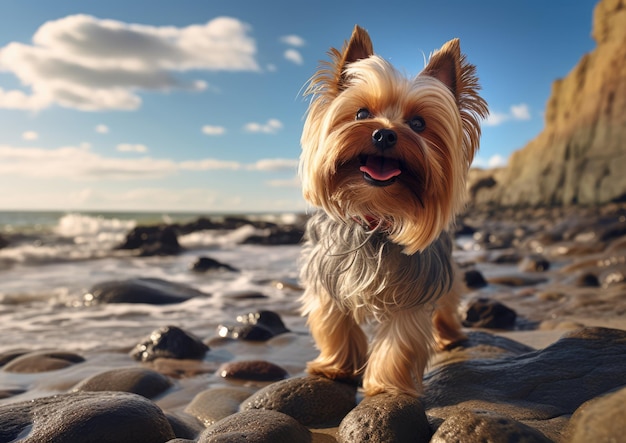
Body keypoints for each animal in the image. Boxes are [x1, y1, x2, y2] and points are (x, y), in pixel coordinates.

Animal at [298, 25, 488, 398]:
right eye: (361, 114)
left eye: (417, 124)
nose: (384, 134)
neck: (375, 213)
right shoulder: (327, 281)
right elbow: (334, 324)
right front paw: (335, 367)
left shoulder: (414, 291)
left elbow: (399, 341)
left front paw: (384, 386)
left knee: (449, 299)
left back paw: (450, 336)